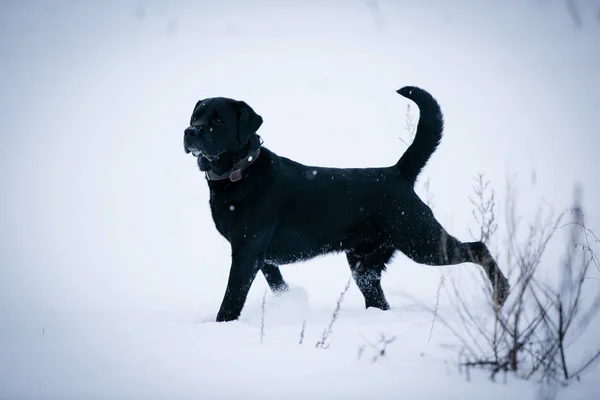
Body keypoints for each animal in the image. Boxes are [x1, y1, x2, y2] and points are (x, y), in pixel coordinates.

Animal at [184, 86, 510, 322]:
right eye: (195, 116)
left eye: (218, 120)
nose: (190, 132)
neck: (241, 171)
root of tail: (397, 172)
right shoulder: (259, 254)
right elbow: (276, 282)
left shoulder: (247, 251)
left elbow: (232, 296)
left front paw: (222, 324)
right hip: (365, 265)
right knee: (378, 299)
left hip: (421, 240)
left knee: (477, 247)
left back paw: (502, 293)